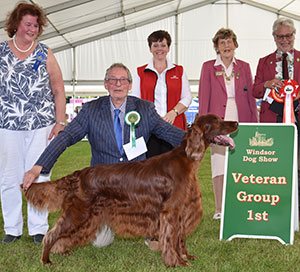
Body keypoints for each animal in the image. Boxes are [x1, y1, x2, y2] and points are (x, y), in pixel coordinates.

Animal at [22, 113, 238, 266]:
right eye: (217, 121)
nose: (236, 122)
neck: (187, 159)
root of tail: (78, 174)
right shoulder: (171, 211)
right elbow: (172, 238)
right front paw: (176, 262)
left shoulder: (182, 210)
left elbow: (180, 238)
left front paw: (186, 256)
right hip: (79, 212)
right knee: (51, 234)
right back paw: (46, 260)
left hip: (87, 217)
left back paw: (61, 251)